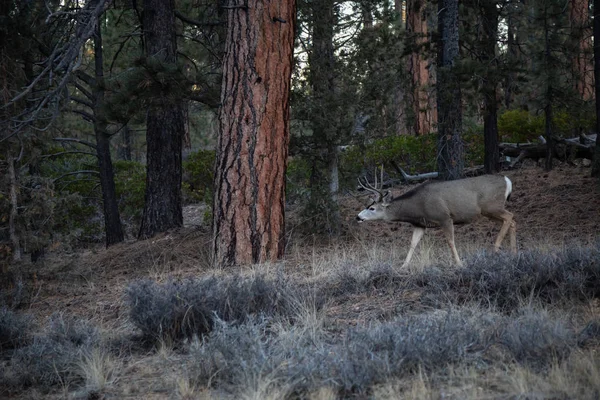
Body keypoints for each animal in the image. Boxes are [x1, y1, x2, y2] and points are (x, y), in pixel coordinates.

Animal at [356, 169, 516, 266]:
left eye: (372, 208)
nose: (357, 217)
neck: (417, 206)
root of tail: (507, 180)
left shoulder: (444, 217)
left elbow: (450, 241)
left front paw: (459, 263)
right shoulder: (420, 224)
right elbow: (413, 244)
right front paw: (403, 266)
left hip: (491, 206)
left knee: (510, 216)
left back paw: (496, 249)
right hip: (489, 211)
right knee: (512, 220)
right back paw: (513, 251)